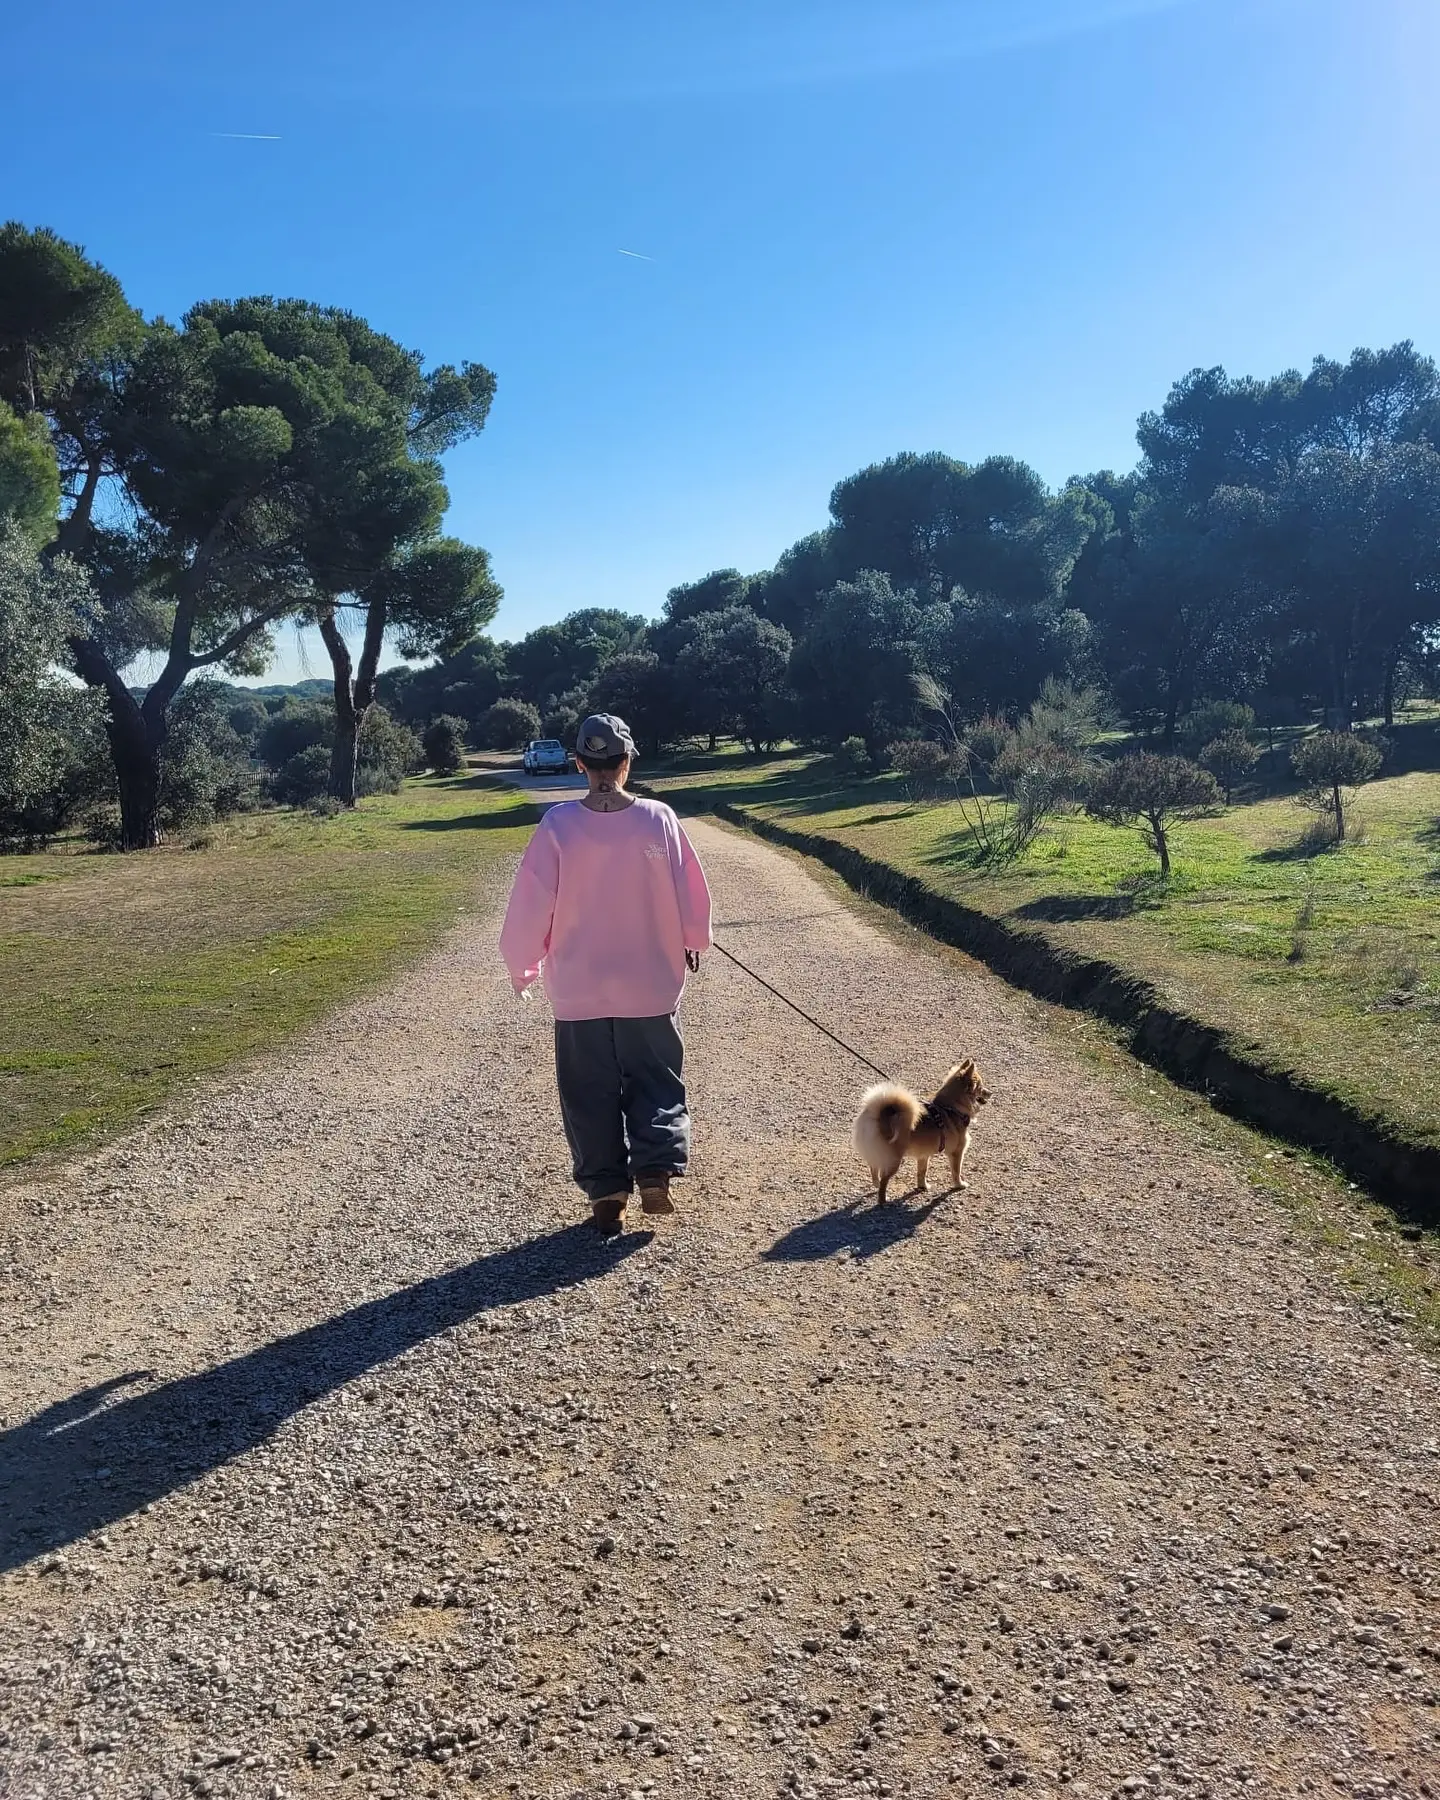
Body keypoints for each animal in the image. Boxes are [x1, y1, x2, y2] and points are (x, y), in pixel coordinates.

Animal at [856, 1058, 993, 1202]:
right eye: (981, 1087)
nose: (991, 1092)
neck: (951, 1107)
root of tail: (876, 1117)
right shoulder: (957, 1152)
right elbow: (956, 1171)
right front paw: (959, 1184)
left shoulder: (923, 1155)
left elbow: (922, 1171)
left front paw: (923, 1186)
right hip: (893, 1160)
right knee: (884, 1179)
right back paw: (883, 1199)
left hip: (878, 1155)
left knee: (874, 1169)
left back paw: (876, 1185)